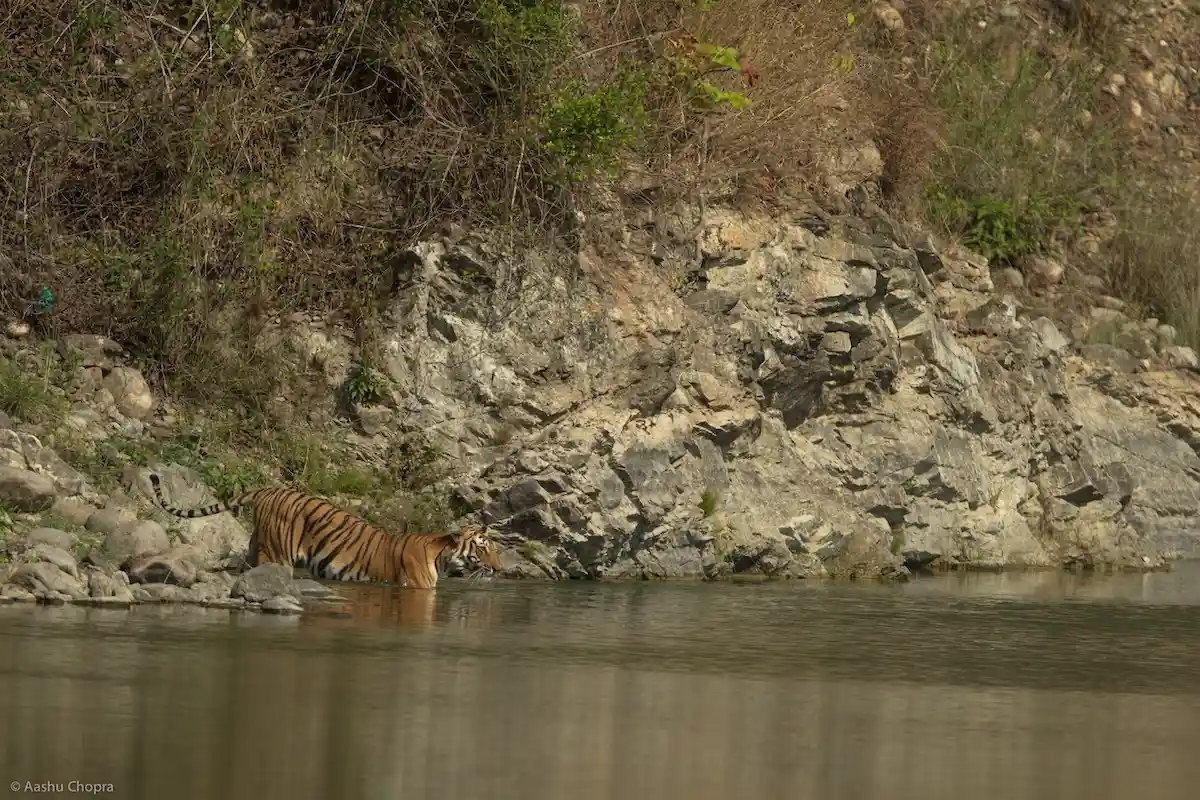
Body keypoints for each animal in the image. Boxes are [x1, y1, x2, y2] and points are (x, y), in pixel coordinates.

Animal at [146, 473, 502, 589]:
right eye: (483, 547)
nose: (500, 569)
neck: (442, 555)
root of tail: (267, 489)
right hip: (277, 551)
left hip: (257, 543)